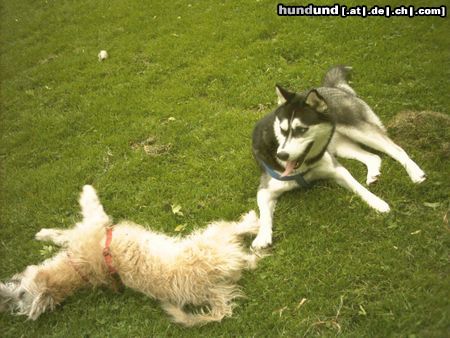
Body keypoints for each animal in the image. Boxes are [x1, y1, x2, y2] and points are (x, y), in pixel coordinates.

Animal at [0, 186, 260, 326]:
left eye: (21, 294)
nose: (5, 301)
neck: (79, 270)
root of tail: (212, 289)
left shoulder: (89, 231)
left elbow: (64, 234)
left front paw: (44, 234)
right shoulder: (96, 223)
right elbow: (86, 210)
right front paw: (87, 190)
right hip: (211, 237)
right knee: (239, 234)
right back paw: (251, 222)